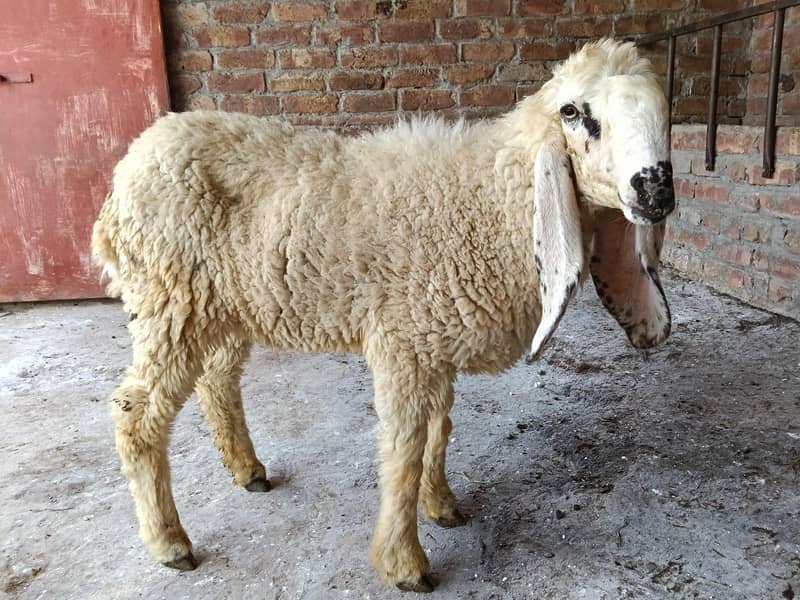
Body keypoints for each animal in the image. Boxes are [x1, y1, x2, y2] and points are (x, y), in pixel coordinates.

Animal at [92, 39, 675, 592]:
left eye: (664, 113)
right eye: (573, 112)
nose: (655, 186)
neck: (490, 199)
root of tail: (131, 164)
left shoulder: (432, 340)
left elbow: (440, 427)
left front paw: (441, 504)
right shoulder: (402, 345)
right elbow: (405, 449)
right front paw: (404, 563)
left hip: (222, 306)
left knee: (217, 380)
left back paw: (246, 469)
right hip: (168, 301)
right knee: (137, 413)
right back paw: (169, 542)